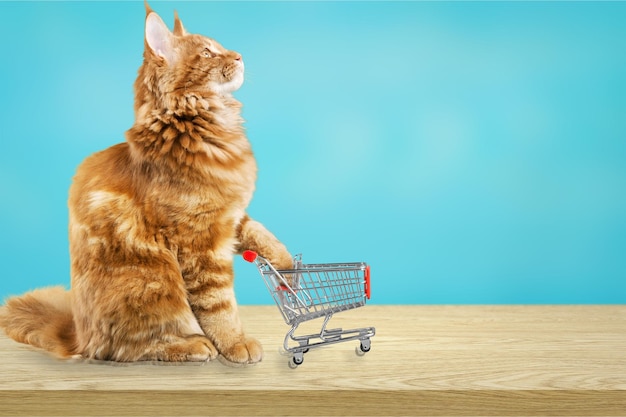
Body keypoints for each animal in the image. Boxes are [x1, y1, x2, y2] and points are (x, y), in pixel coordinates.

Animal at [0, 3, 292, 362]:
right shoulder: (199, 243)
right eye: (207, 53)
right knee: (128, 347)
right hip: (154, 277)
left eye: (220, 47)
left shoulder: (229, 214)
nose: (238, 56)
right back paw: (192, 345)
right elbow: (218, 303)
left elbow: (258, 231)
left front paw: (285, 261)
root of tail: (77, 336)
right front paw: (235, 342)